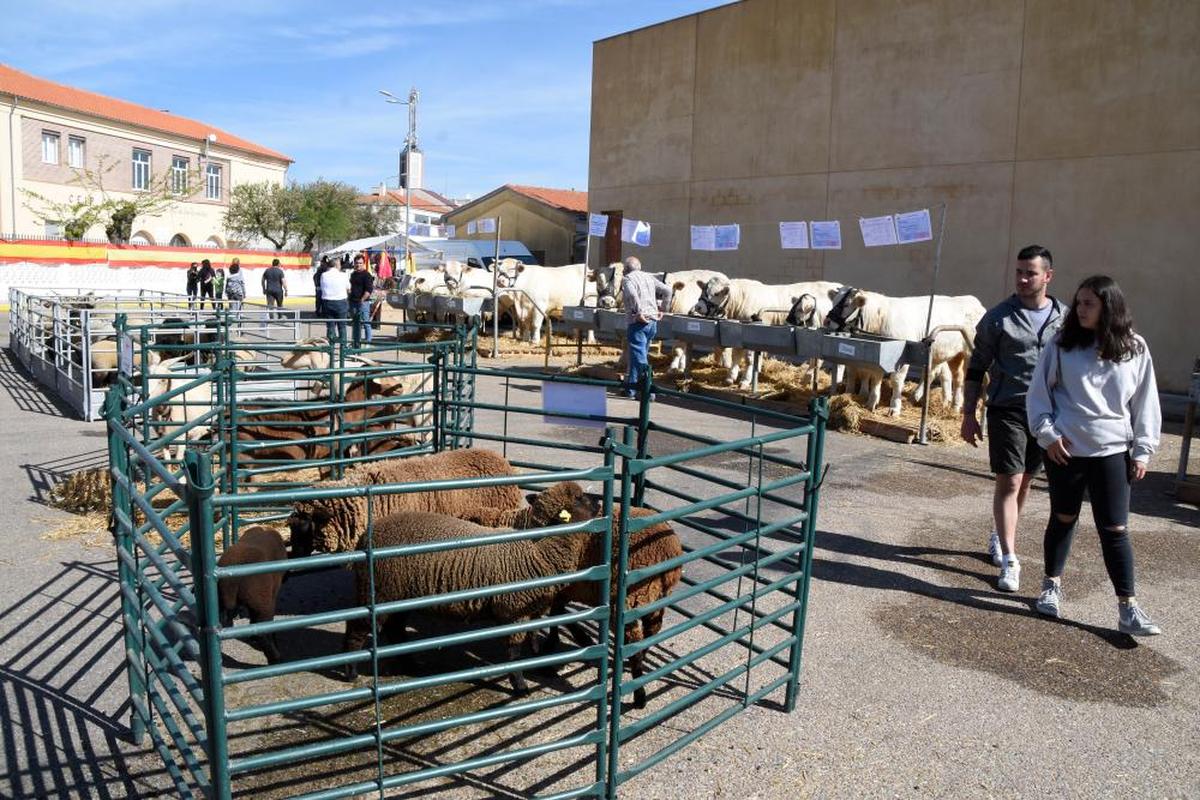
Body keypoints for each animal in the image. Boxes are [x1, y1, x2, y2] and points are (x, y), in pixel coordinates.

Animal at [340, 482, 600, 695]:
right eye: (579, 498)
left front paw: (545, 669)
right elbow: (514, 653)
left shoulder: (533, 610)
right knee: (357, 629)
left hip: (401, 597)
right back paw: (351, 672)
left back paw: (413, 666)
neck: (538, 550)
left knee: (395, 630)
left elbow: (535, 642)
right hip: (377, 592)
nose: (598, 502)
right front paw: (520, 686)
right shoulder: (513, 611)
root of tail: (365, 537)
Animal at [825, 287, 984, 417]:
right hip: (953, 354)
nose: (828, 322)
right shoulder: (879, 354)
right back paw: (951, 406)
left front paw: (894, 408)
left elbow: (896, 381)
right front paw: (871, 403)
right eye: (833, 302)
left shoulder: (900, 358)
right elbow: (875, 378)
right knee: (955, 377)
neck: (880, 319)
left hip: (969, 354)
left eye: (846, 304)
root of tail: (974, 301)